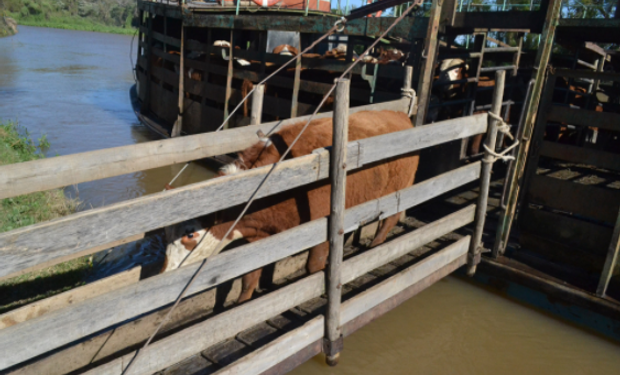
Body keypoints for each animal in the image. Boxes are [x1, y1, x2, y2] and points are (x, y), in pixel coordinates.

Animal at [160, 110, 422, 304]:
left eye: (190, 235)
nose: (164, 273)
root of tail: (400, 115)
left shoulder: (322, 228)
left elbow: (313, 267)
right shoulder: (258, 238)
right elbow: (248, 278)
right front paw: (242, 304)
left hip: (399, 189)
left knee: (388, 221)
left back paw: (374, 248)